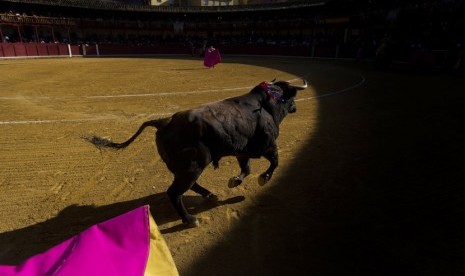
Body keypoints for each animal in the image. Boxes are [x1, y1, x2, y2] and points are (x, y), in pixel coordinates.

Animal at [85, 80, 306, 226]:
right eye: (293, 96)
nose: (296, 107)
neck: (268, 105)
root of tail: (164, 122)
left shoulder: (242, 151)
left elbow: (247, 169)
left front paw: (234, 181)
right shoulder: (269, 145)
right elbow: (274, 162)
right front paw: (264, 178)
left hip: (186, 168)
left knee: (189, 186)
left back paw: (209, 194)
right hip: (192, 166)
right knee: (174, 192)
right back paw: (190, 219)